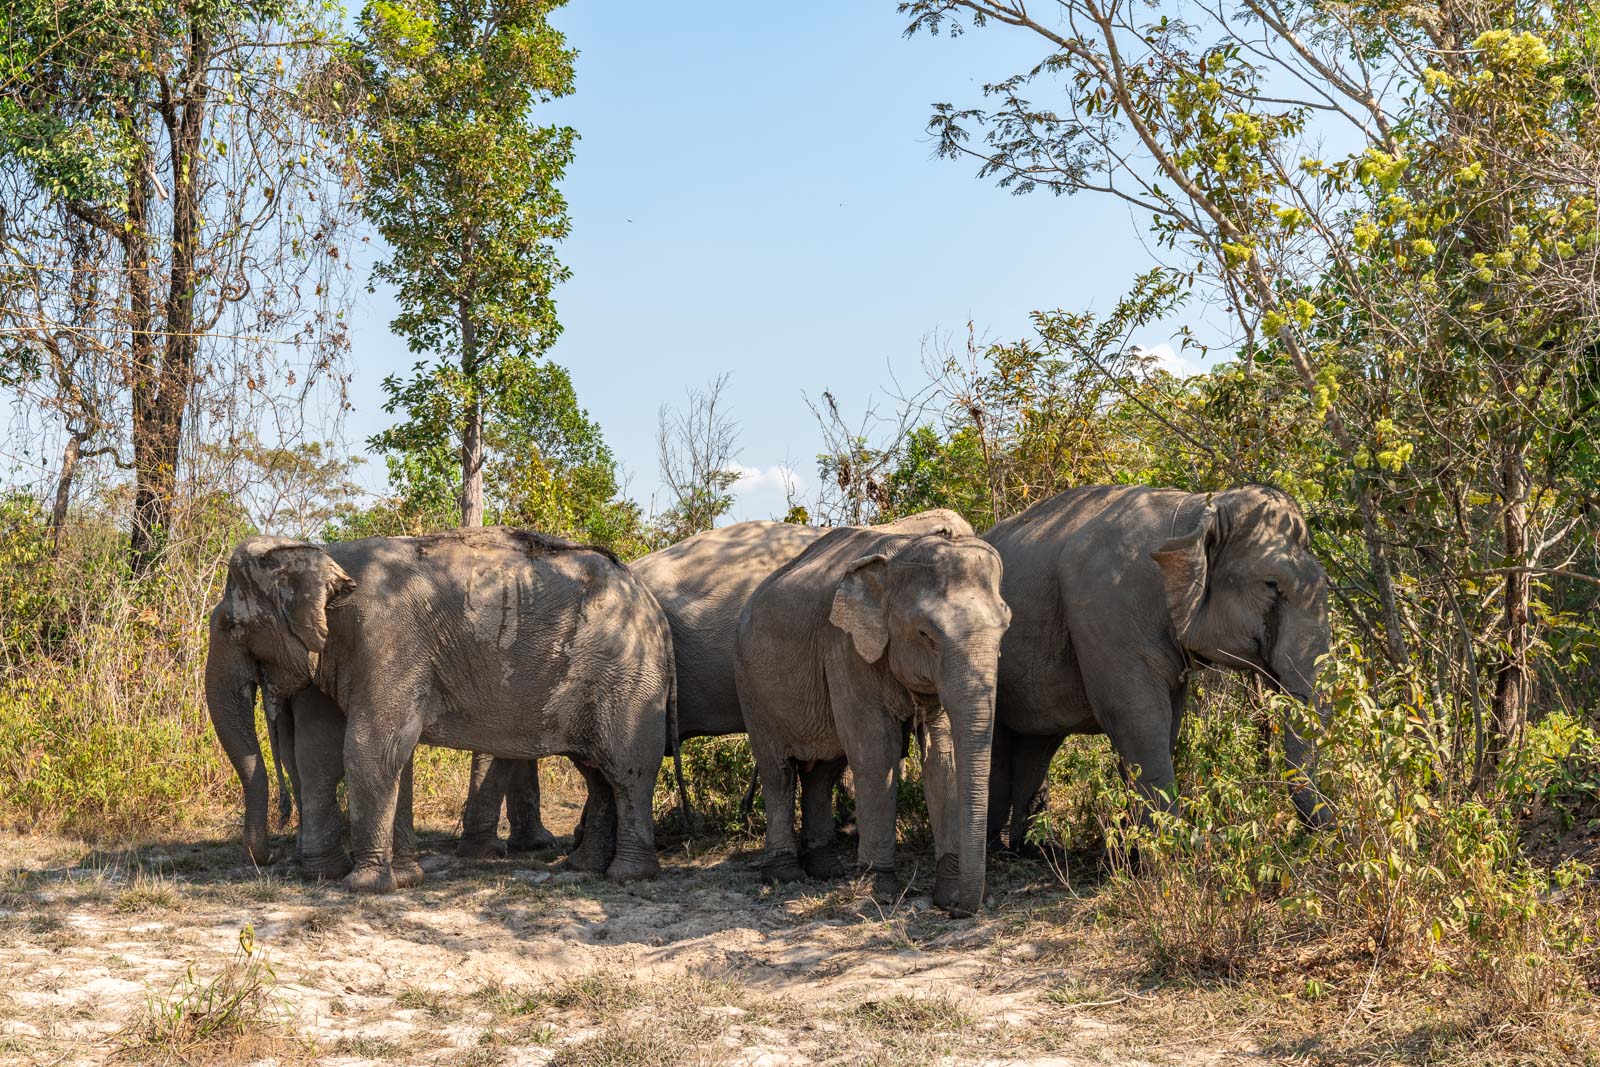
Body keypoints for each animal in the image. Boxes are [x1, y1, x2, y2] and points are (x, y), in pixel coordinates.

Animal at [203, 527, 672, 895]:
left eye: (231, 626)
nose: (264, 858)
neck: (322, 551)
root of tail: (650, 600)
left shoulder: (387, 638)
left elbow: (369, 748)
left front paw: (363, 886)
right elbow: (346, 752)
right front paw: (394, 879)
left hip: (627, 678)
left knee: (627, 772)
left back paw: (628, 876)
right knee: (596, 773)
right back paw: (585, 868)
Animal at [732, 524, 1004, 921]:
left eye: (1005, 629)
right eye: (924, 634)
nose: (958, 911)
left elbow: (943, 757)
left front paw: (947, 891)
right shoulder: (845, 646)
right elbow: (876, 752)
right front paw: (881, 889)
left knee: (823, 771)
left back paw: (826, 870)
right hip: (751, 687)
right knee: (777, 770)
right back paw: (785, 876)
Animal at [979, 483, 1331, 851]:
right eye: (1271, 585)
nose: (1328, 831)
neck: (1195, 511)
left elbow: (1170, 718)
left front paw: (1139, 846)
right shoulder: (1108, 609)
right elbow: (1138, 716)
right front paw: (1170, 848)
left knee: (1037, 741)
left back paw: (1030, 847)